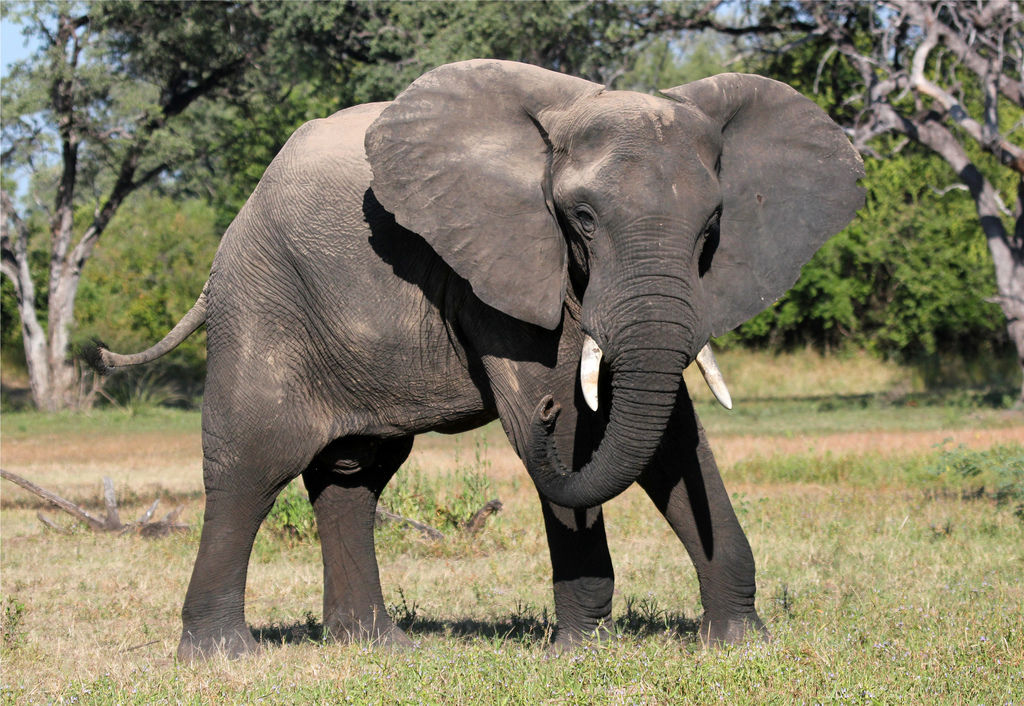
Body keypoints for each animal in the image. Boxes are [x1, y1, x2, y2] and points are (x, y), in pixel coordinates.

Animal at [86, 59, 863, 660]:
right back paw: (222, 655)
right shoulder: (497, 273)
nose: (540, 415)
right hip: (262, 303)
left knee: (352, 476)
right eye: (581, 219)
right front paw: (581, 653)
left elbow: (670, 435)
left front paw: (741, 643)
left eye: (711, 226)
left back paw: (378, 648)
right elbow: (584, 431)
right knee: (252, 466)